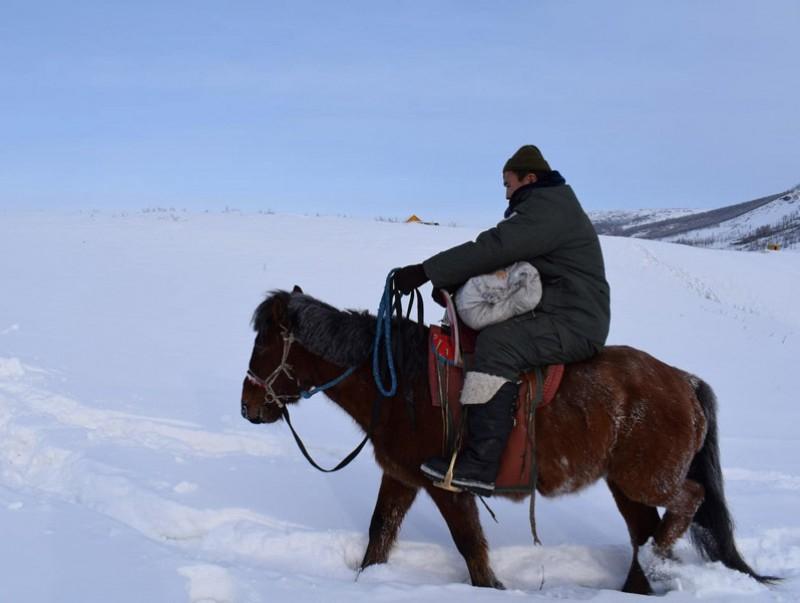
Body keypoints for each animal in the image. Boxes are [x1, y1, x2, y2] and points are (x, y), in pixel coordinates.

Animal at [241, 290, 772, 596]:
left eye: (264, 343)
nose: (249, 407)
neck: (402, 381)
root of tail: (684, 381)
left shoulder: (448, 485)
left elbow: (471, 547)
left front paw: (490, 586)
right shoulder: (401, 477)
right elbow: (379, 536)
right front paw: (365, 583)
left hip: (647, 479)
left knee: (689, 500)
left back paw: (657, 563)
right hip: (624, 484)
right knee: (644, 529)